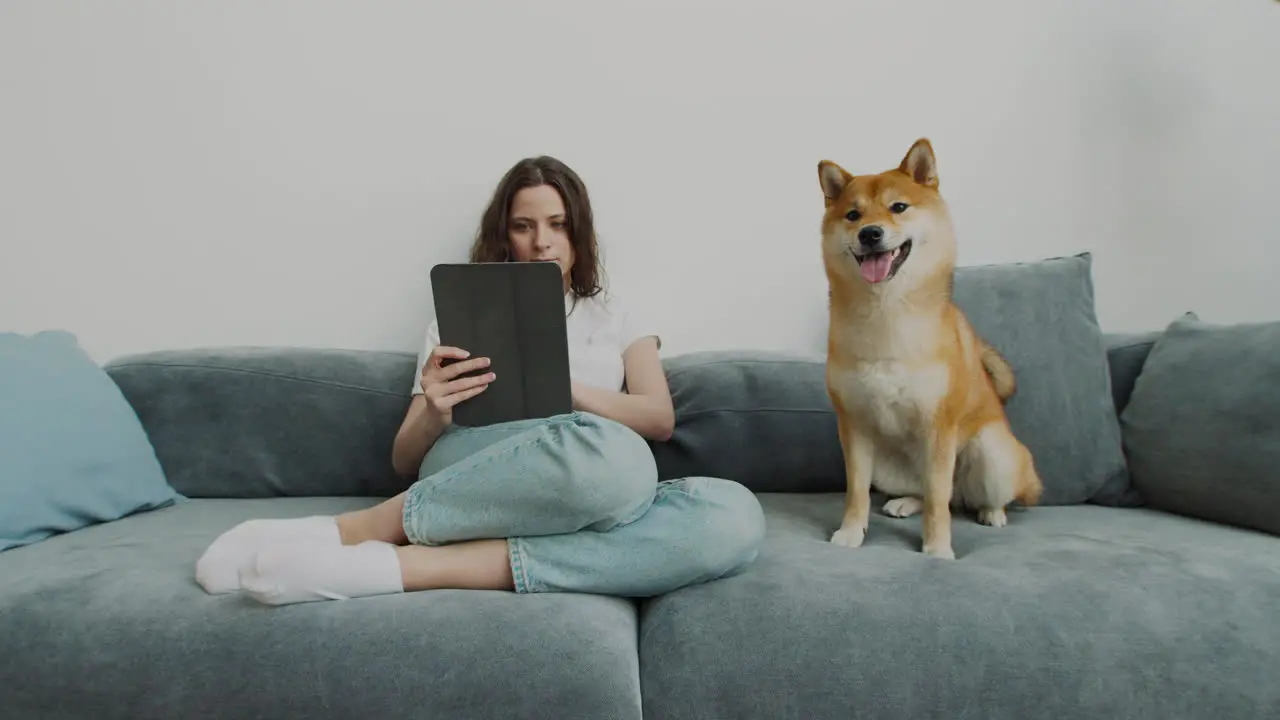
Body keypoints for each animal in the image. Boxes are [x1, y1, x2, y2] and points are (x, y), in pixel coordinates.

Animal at [819, 137, 1039, 558]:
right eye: (853, 215)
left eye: (898, 207)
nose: (870, 233)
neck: (886, 315)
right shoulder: (853, 426)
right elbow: (857, 493)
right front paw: (851, 533)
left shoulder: (938, 427)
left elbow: (938, 499)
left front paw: (937, 549)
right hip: (888, 466)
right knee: (941, 494)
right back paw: (906, 502)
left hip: (993, 453)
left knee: (968, 495)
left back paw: (992, 512)